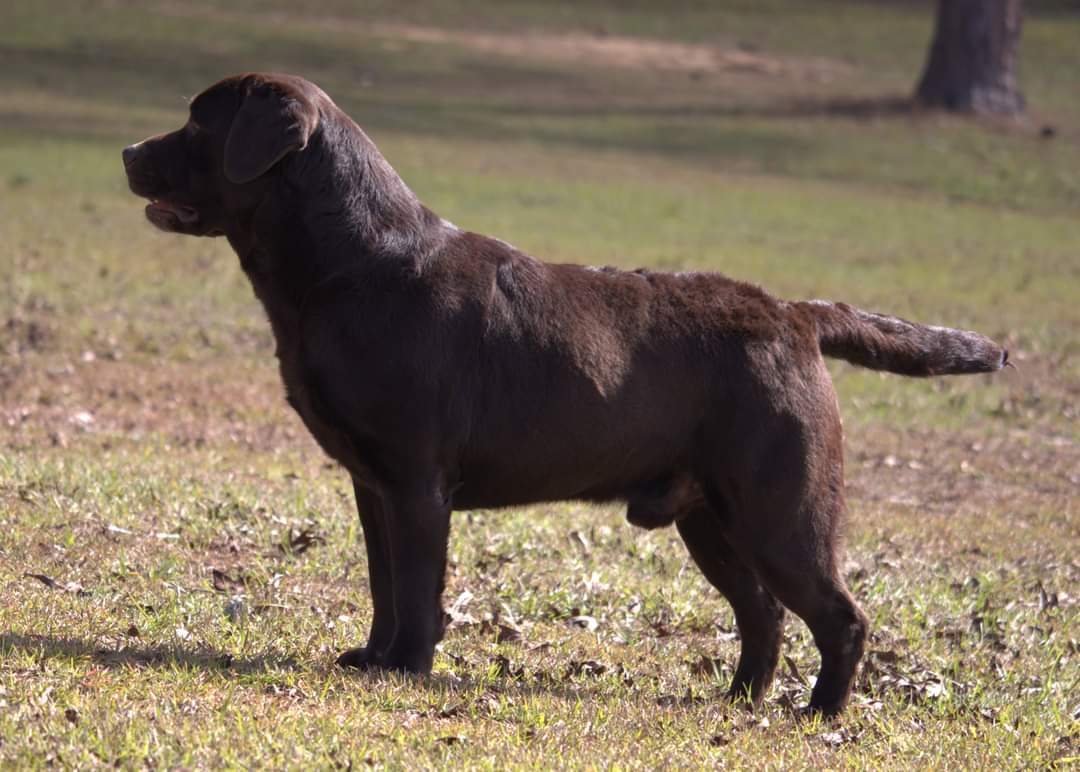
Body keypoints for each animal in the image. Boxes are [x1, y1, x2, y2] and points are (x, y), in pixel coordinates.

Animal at [122, 73, 1006, 716]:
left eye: (199, 125)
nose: (128, 149)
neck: (354, 264)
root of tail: (795, 313)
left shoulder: (416, 483)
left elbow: (417, 589)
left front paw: (407, 669)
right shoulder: (371, 484)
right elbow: (382, 585)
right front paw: (372, 659)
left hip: (781, 509)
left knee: (840, 618)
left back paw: (818, 714)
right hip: (713, 520)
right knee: (766, 614)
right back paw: (736, 701)